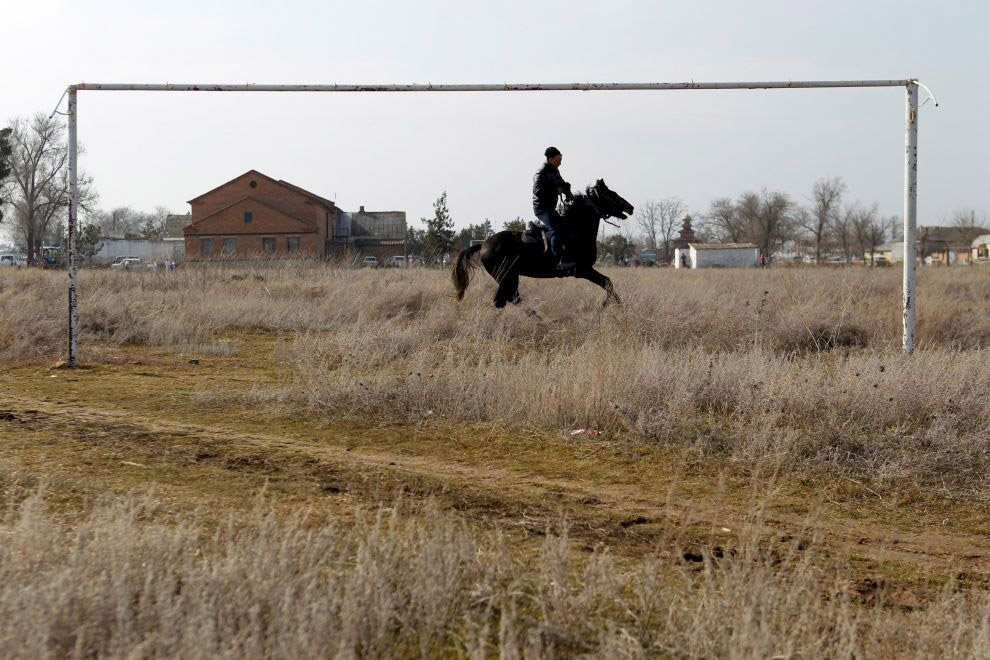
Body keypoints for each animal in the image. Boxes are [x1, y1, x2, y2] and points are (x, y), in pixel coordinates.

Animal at [452, 178, 632, 306]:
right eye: (609, 193)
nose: (630, 207)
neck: (576, 229)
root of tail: (483, 245)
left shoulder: (585, 270)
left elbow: (607, 283)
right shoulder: (582, 269)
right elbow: (607, 283)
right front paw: (610, 305)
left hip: (509, 277)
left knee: (509, 299)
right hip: (506, 276)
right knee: (507, 299)